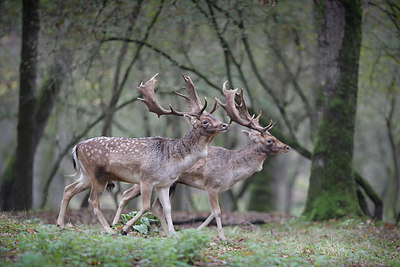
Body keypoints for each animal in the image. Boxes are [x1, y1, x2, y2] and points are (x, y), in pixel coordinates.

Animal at [55, 74, 228, 236]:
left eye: (213, 117)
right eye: (205, 121)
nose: (225, 124)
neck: (173, 162)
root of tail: (77, 147)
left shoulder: (164, 184)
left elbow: (167, 208)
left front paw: (173, 234)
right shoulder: (146, 179)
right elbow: (146, 207)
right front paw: (125, 228)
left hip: (86, 175)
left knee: (68, 189)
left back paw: (61, 224)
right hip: (97, 174)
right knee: (92, 201)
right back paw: (109, 229)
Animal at [111, 84, 290, 241]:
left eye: (274, 136)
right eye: (270, 140)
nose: (287, 147)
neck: (231, 171)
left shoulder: (218, 189)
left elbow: (211, 212)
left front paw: (197, 230)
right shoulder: (211, 185)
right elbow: (217, 212)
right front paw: (223, 237)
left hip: (171, 184)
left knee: (156, 206)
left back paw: (165, 232)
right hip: (145, 179)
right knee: (127, 194)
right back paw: (117, 226)